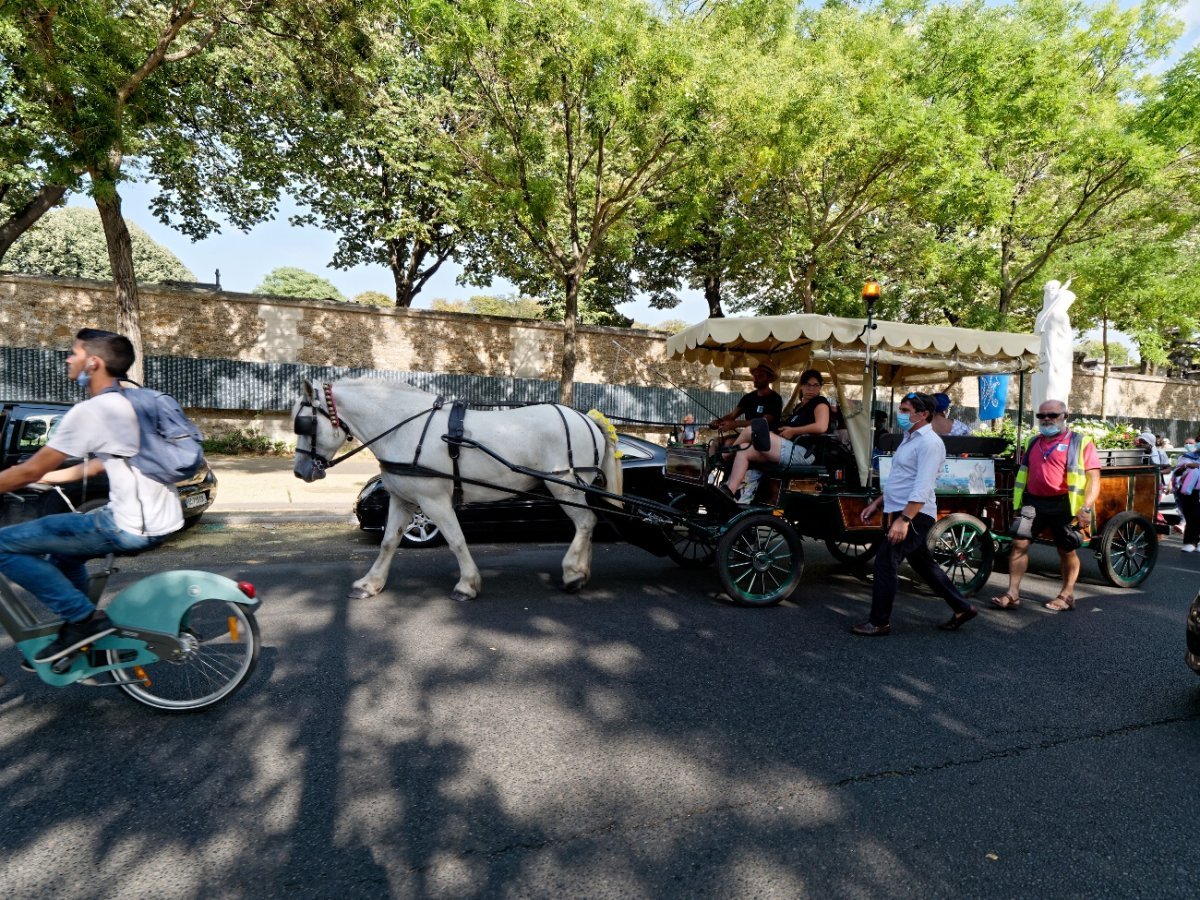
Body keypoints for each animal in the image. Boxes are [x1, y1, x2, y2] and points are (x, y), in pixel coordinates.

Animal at [294, 376, 624, 602]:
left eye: (305, 425)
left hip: (564, 486)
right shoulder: (402, 500)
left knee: (585, 522)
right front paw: (370, 583)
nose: (299, 471)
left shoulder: (434, 500)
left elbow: (456, 540)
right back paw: (581, 570)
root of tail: (588, 419)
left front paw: (467, 584)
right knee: (589, 523)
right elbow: (389, 542)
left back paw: (572, 573)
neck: (405, 429)